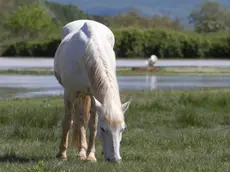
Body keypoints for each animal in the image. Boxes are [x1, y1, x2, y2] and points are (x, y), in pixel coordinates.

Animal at [53, 21, 131, 163]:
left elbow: (92, 125)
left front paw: (90, 156)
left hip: (87, 94)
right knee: (78, 118)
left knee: (83, 119)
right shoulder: (69, 93)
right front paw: (62, 154)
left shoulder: (95, 97)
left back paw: (82, 152)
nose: (114, 159)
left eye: (123, 129)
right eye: (103, 129)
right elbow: (67, 122)